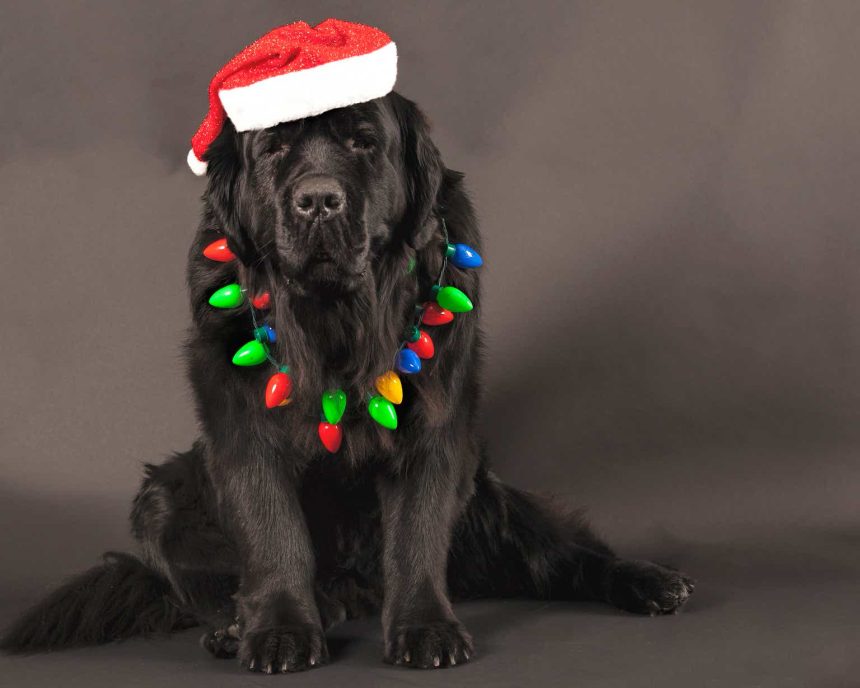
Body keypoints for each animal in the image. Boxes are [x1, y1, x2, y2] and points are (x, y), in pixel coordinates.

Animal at [1, 91, 694, 672]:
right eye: (274, 150)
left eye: (363, 142)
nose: (317, 200)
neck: (337, 322)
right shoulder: (241, 429)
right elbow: (272, 528)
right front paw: (279, 630)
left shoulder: (435, 428)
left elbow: (416, 531)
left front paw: (425, 629)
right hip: (163, 498)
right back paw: (246, 624)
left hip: (487, 497)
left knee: (561, 554)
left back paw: (650, 580)